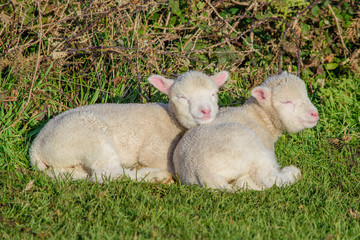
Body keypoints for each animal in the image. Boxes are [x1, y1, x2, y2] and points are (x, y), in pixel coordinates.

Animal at [29, 70, 229, 183]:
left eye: (213, 94)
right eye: (182, 97)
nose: (206, 111)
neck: (171, 120)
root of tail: (36, 146)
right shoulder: (155, 150)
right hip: (90, 138)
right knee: (108, 174)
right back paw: (154, 176)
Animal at [173, 71, 320, 191]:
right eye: (287, 102)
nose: (315, 114)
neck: (258, 117)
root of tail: (201, 172)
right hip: (248, 145)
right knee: (268, 178)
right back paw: (293, 173)